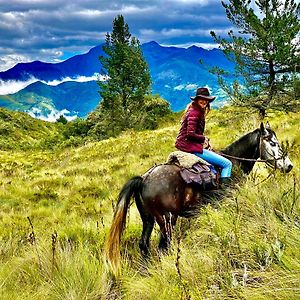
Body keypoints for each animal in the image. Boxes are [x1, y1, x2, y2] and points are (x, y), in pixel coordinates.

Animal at [105, 122, 292, 274]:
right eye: (273, 143)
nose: (289, 166)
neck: (234, 162)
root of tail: (144, 179)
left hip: (148, 219)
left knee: (144, 245)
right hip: (167, 219)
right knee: (163, 247)